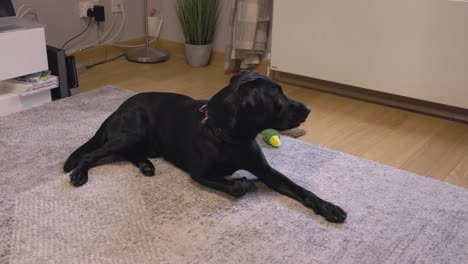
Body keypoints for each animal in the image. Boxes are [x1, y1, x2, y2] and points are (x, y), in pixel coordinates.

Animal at [64, 70, 346, 223]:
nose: (308, 110)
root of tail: (117, 109)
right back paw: (79, 173)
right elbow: (235, 187)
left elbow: (300, 189)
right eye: (277, 98)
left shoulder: (266, 171)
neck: (229, 137)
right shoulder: (200, 174)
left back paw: (145, 165)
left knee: (128, 153)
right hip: (133, 132)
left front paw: (329, 207)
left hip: (147, 142)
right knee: (94, 153)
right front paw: (242, 182)